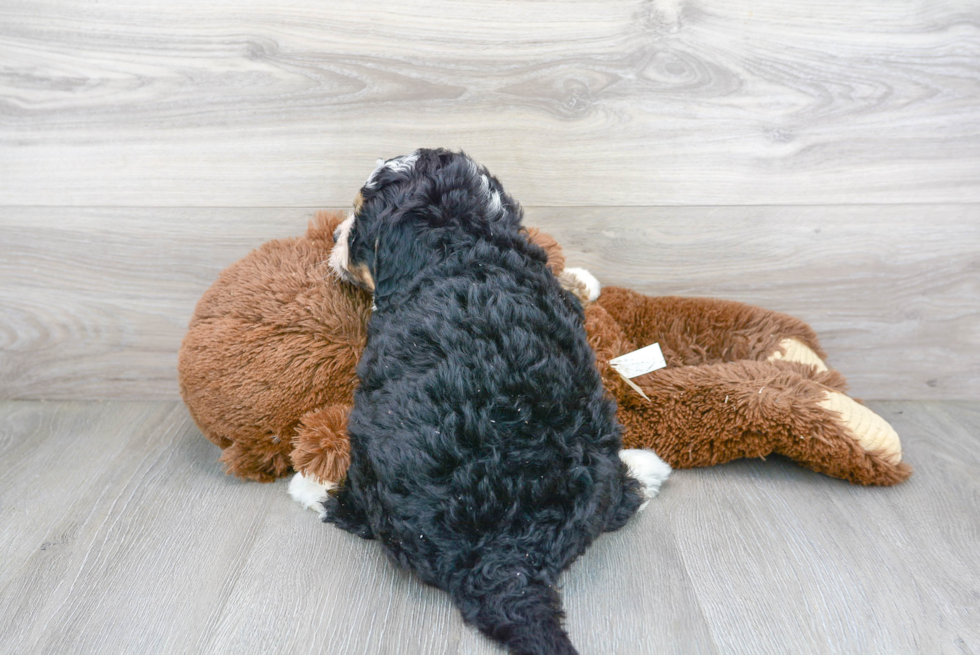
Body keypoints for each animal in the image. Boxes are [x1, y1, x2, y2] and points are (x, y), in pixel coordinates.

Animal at [326, 150, 668, 655]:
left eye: (358, 222)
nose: (332, 235)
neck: (465, 242)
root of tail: (505, 559)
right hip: (598, 446)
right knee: (620, 500)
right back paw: (648, 468)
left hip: (367, 454)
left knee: (352, 513)